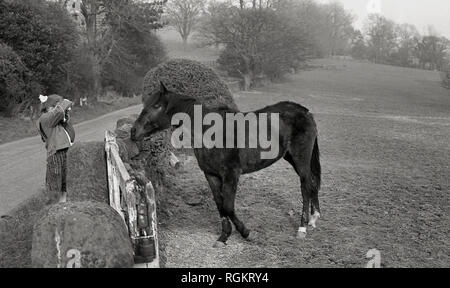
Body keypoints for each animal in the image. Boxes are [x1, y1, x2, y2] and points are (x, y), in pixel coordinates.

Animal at [130, 82, 320, 246]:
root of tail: (304, 111)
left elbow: (228, 206)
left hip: (301, 158)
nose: (133, 131)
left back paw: (302, 228)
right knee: (312, 183)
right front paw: (224, 237)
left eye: (157, 106)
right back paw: (313, 218)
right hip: (291, 157)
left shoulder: (231, 174)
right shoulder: (211, 175)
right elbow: (220, 205)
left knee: (305, 186)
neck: (209, 131)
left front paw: (246, 232)